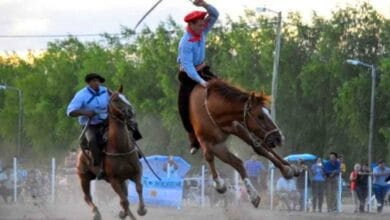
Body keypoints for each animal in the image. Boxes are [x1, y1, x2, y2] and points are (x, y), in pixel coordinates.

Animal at [76, 86, 146, 220]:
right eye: (115, 99)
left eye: (126, 97)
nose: (131, 112)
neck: (121, 148)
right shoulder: (114, 180)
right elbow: (124, 201)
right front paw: (126, 212)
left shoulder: (136, 172)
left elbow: (138, 188)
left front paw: (141, 210)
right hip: (84, 177)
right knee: (87, 197)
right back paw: (96, 213)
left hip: (121, 181)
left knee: (124, 197)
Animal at [189, 79, 298, 208]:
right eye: (260, 116)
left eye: (269, 111)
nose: (279, 138)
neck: (211, 108)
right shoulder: (205, 140)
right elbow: (209, 156)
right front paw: (220, 185)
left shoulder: (237, 127)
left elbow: (259, 149)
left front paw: (287, 170)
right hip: (218, 147)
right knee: (238, 162)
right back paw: (253, 195)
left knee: (254, 152)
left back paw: (289, 167)